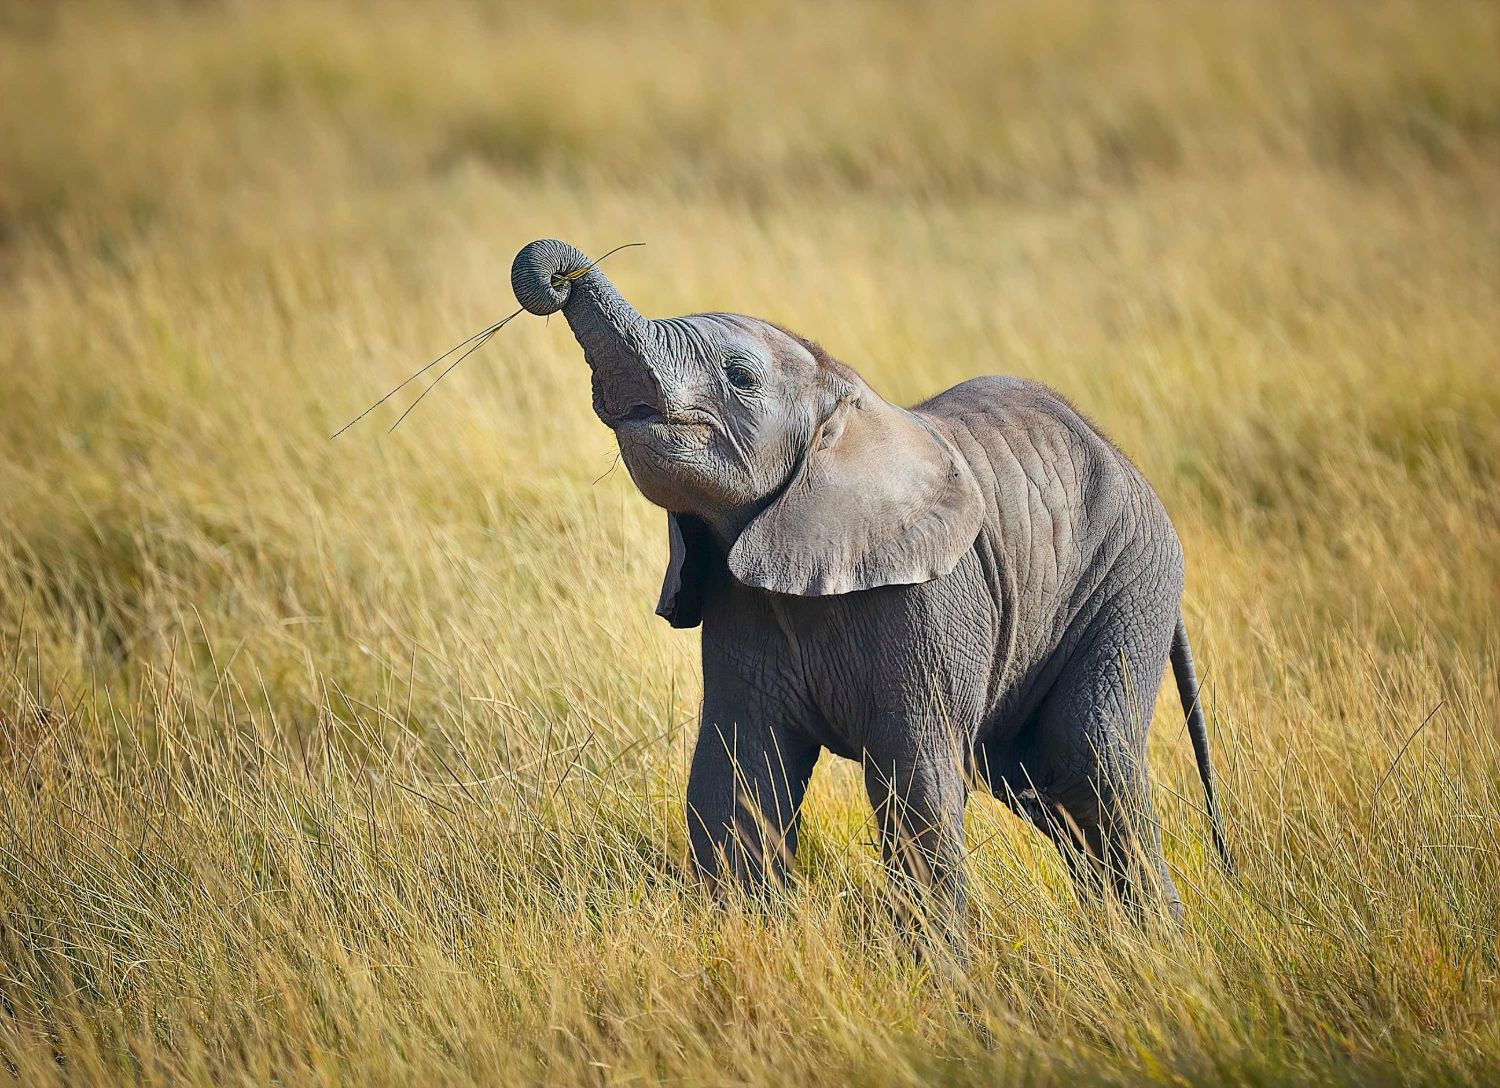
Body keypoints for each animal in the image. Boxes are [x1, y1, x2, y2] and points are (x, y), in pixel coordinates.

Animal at [510, 238, 1231, 939]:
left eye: (740, 376)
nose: (557, 276)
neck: (849, 404)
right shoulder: (739, 607)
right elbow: (734, 776)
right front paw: (747, 940)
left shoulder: (932, 602)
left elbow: (916, 783)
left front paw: (940, 971)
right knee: (1044, 784)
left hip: (1128, 581)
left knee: (1088, 760)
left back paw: (1161, 950)